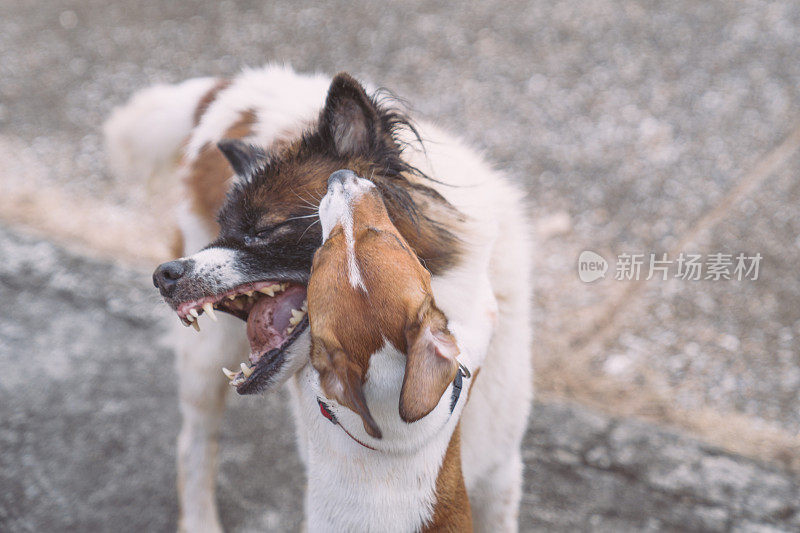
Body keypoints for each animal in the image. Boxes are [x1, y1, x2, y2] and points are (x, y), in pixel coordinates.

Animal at [103, 64, 536, 528]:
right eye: (224, 230)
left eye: (265, 230)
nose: (163, 276)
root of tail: (242, 83)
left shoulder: (500, 472)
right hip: (206, 358)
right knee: (194, 441)